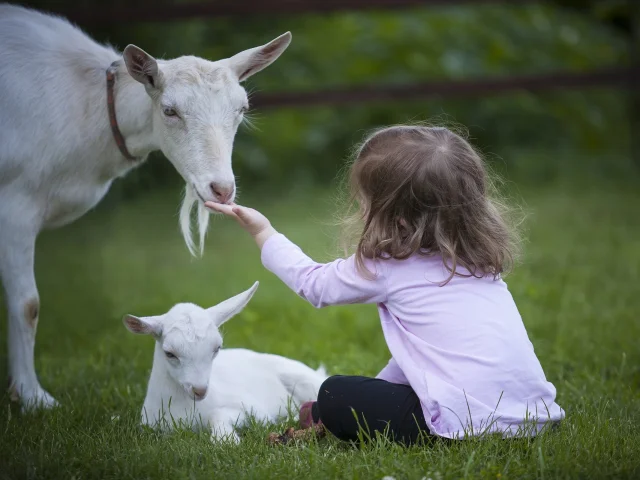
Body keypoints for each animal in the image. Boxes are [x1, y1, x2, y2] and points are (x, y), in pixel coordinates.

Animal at [1, 2, 292, 408]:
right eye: (169, 110)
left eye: (242, 108)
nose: (221, 189)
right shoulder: (16, 201)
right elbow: (28, 304)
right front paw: (33, 398)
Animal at [123, 282, 328, 442]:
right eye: (169, 353)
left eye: (216, 348)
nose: (200, 390)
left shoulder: (254, 410)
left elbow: (222, 414)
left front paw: (225, 439)